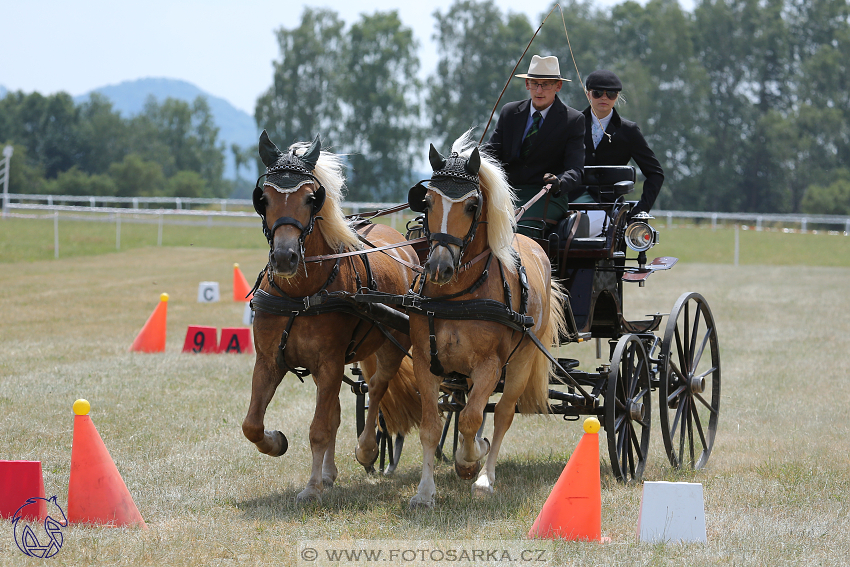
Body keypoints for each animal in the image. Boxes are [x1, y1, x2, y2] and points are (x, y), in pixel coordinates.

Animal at [242, 131, 418, 504]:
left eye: (311, 198)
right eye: (264, 198)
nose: (284, 257)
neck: (301, 296)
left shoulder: (330, 362)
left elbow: (319, 429)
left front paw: (311, 487)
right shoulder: (269, 359)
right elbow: (252, 424)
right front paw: (277, 442)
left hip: (393, 343)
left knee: (377, 387)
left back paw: (367, 450)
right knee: (339, 409)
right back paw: (329, 472)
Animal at [404, 131, 564, 508]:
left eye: (472, 206)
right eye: (427, 203)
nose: (439, 268)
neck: (458, 296)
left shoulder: (490, 366)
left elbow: (472, 419)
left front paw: (469, 462)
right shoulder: (425, 361)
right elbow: (432, 425)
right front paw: (424, 492)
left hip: (520, 361)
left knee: (503, 413)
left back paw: (484, 477)